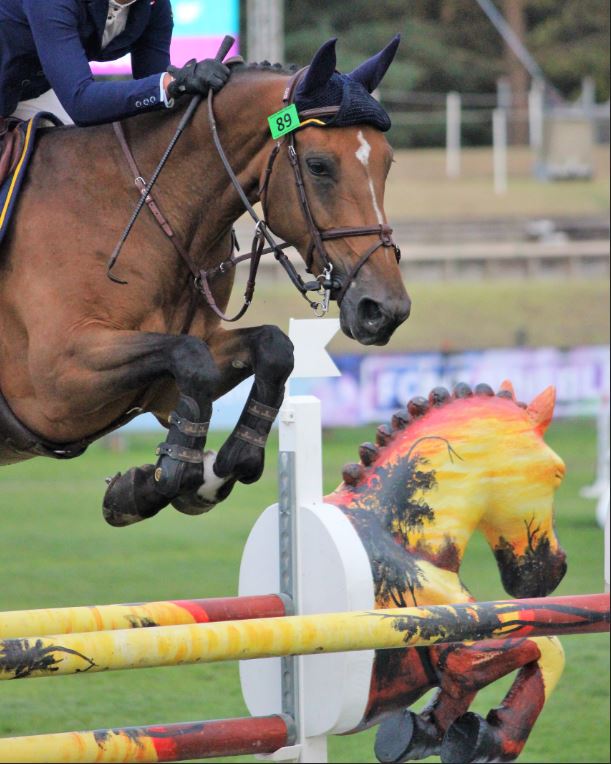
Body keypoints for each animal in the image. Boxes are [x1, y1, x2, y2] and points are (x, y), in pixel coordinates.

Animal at [0, 40, 412, 524]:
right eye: (318, 166)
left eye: (387, 163)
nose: (384, 310)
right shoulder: (56, 381)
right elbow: (191, 359)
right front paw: (164, 477)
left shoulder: (166, 383)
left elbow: (272, 348)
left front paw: (220, 465)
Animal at [330, 382, 568, 764]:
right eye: (558, 472)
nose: (557, 569)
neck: (400, 537)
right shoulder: (461, 651)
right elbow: (548, 648)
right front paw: (492, 739)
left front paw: (424, 732)